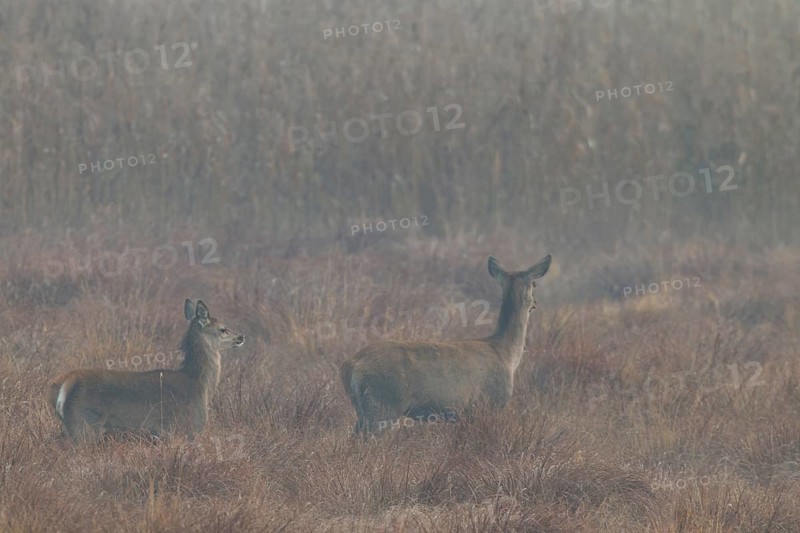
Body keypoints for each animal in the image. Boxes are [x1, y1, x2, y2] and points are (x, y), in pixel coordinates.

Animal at [47, 299, 244, 443]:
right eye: (223, 329)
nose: (241, 336)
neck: (199, 383)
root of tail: (66, 383)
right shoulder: (186, 428)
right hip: (84, 425)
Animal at [340, 254, 552, 435]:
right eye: (535, 283)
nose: (535, 303)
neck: (507, 353)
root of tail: (351, 364)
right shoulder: (489, 404)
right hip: (383, 404)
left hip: (363, 409)